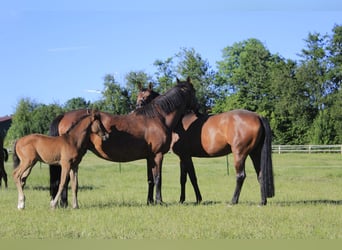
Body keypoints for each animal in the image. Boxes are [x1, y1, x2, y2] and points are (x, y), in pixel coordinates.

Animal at [48, 78, 198, 207]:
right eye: (194, 91)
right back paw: (64, 204)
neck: (157, 117)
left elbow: (150, 179)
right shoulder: (158, 155)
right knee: (65, 179)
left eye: (146, 96)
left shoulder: (149, 157)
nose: (198, 107)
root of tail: (64, 115)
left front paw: (150, 201)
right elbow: (158, 178)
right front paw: (159, 201)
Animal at [136, 85, 276, 205]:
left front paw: (198, 199)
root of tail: (258, 116)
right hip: (255, 153)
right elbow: (183, 179)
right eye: (138, 95)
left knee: (240, 176)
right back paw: (262, 202)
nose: (137, 108)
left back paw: (233, 201)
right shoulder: (183, 157)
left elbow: (192, 177)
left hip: (240, 154)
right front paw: (182, 200)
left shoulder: (186, 156)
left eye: (146, 96)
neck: (179, 122)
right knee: (260, 175)